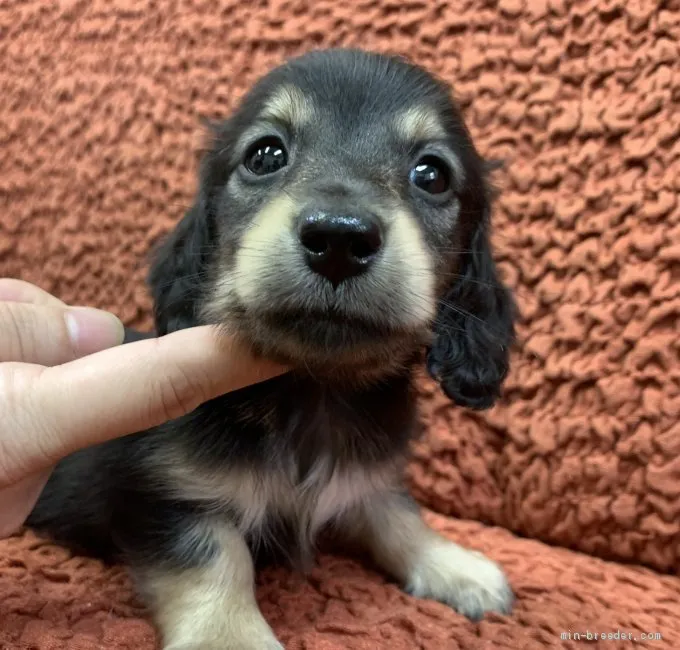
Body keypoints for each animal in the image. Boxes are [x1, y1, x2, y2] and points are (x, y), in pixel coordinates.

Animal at [26, 49, 516, 648]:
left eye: (432, 174)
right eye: (265, 155)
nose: (339, 238)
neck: (312, 391)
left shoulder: (364, 475)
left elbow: (395, 510)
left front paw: (453, 565)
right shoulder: (165, 492)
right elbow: (215, 556)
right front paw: (229, 635)